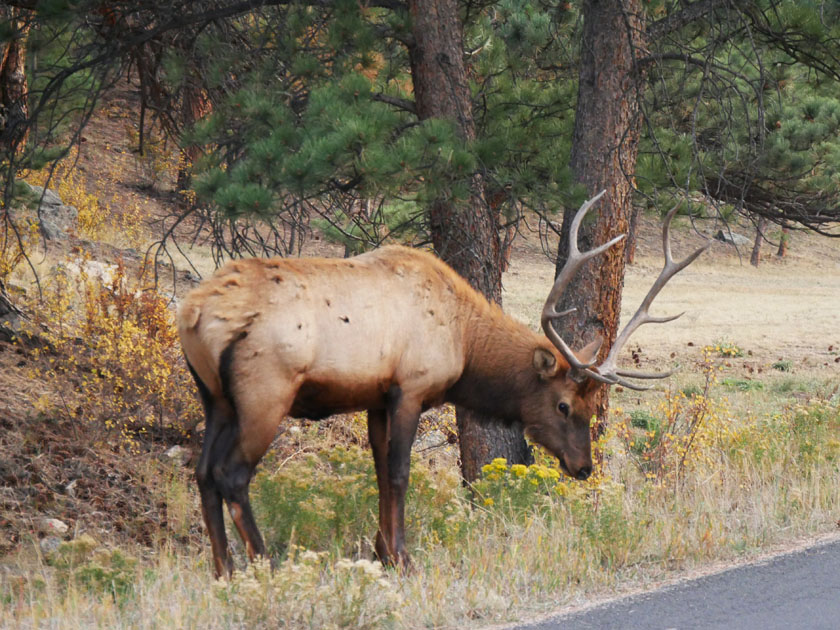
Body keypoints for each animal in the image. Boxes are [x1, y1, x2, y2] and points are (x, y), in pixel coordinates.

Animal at [180, 193, 704, 576]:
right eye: (563, 406)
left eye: (592, 407)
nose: (583, 467)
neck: (464, 342)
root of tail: (192, 313)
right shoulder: (411, 388)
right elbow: (399, 473)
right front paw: (403, 558)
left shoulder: (376, 397)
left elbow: (379, 473)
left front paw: (383, 551)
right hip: (265, 391)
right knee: (232, 474)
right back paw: (265, 566)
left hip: (214, 398)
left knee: (203, 472)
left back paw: (223, 571)